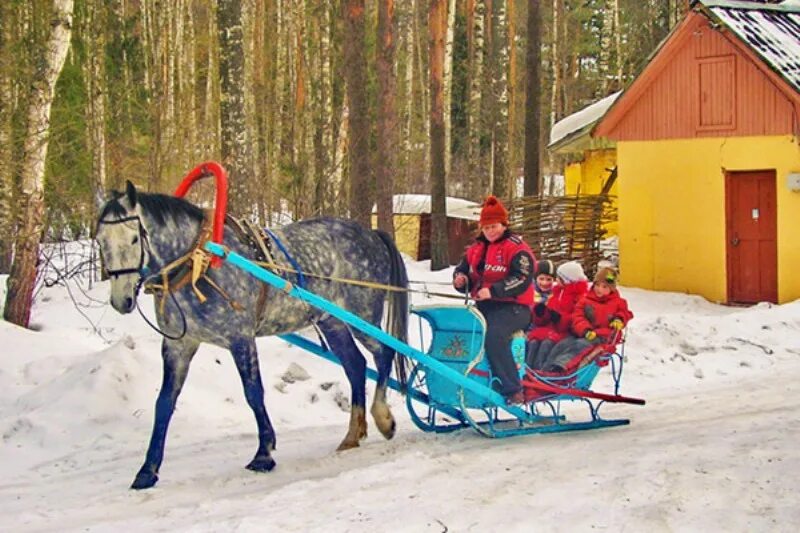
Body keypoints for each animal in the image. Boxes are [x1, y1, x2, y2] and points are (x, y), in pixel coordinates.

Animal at [97, 181, 410, 488]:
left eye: (134, 239)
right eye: (100, 240)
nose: (121, 300)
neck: (199, 261)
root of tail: (371, 233)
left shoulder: (241, 339)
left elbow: (253, 393)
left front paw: (264, 454)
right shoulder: (179, 345)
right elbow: (164, 402)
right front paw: (147, 470)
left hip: (363, 315)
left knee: (384, 353)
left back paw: (383, 417)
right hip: (331, 321)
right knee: (356, 365)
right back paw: (352, 434)